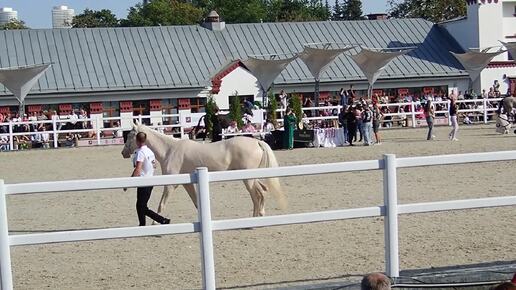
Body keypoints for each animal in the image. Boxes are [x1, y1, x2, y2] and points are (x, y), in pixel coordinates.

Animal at [121, 123, 286, 218]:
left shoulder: (171, 185)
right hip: (253, 177)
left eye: (129, 135)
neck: (170, 150)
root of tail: (257, 142)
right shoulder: (187, 184)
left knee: (257, 195)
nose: (123, 153)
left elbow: (162, 205)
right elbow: (196, 203)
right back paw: (260, 215)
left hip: (248, 179)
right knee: (262, 191)